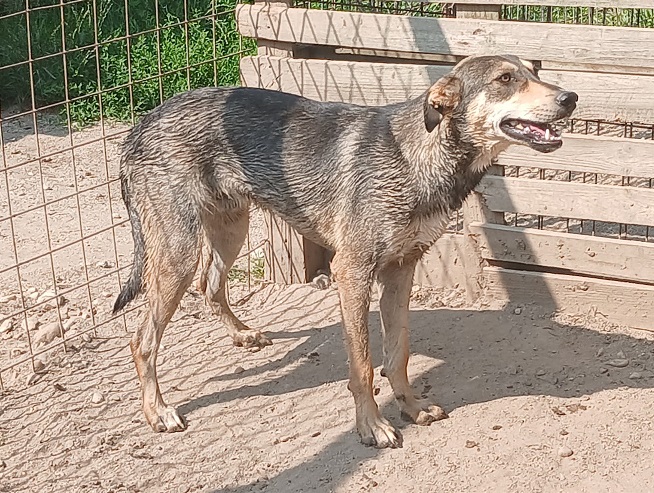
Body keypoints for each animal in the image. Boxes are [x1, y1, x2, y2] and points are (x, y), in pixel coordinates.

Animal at [113, 54, 577, 448]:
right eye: (505, 79)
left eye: (533, 72)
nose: (571, 97)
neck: (417, 157)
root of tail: (142, 123)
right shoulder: (352, 271)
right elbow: (364, 364)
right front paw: (372, 426)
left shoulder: (402, 269)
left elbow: (398, 353)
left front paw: (411, 407)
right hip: (178, 254)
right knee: (141, 340)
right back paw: (158, 412)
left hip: (230, 230)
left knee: (209, 286)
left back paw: (241, 333)